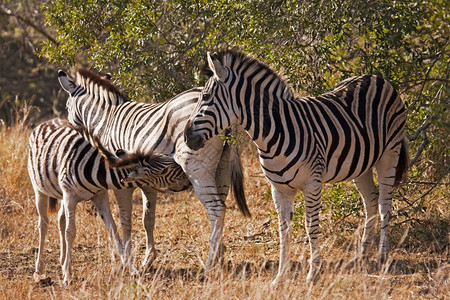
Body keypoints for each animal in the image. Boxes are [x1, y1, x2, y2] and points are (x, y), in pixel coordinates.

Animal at [27, 118, 190, 286]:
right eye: (164, 171)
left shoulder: (99, 196)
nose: (189, 179)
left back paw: (62, 259)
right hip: (39, 189)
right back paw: (39, 268)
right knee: (43, 223)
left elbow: (113, 230)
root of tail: (47, 121)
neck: (96, 172)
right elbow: (70, 232)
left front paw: (131, 269)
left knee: (61, 219)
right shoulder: (70, 196)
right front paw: (67, 275)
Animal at [55, 68, 250, 276]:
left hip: (197, 169)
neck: (106, 121)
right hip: (222, 168)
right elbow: (147, 219)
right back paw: (219, 260)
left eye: (66, 107)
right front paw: (148, 260)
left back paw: (208, 265)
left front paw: (127, 262)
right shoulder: (147, 183)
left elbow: (126, 221)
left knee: (216, 209)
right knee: (220, 210)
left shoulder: (121, 181)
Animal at [185, 50, 410, 284]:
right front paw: (280, 276)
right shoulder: (279, 189)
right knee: (371, 201)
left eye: (206, 97)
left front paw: (313, 274)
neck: (274, 134)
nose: (186, 136)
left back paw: (383, 256)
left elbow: (311, 226)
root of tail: (376, 78)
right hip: (361, 164)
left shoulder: (312, 183)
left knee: (384, 203)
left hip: (389, 153)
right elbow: (284, 231)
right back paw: (361, 255)